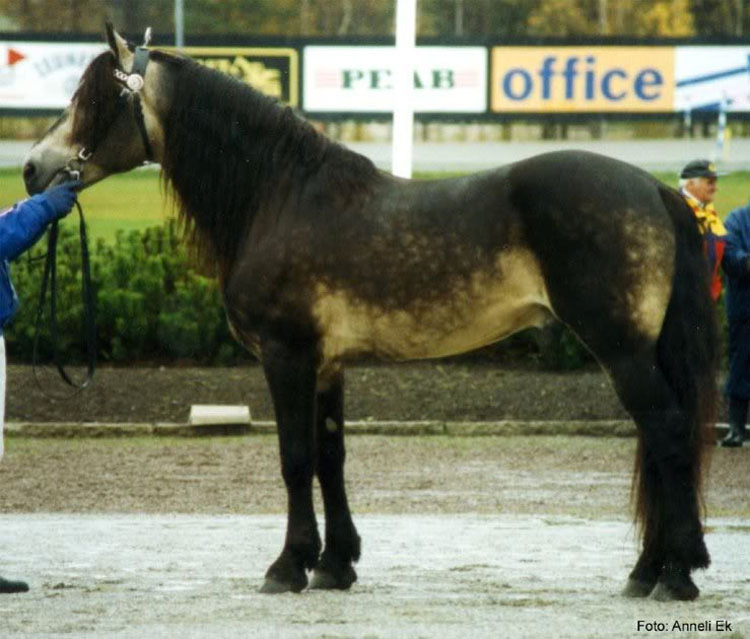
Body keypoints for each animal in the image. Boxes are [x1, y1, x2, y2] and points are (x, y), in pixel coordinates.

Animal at [22, 25, 716, 604]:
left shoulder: (288, 356)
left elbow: (295, 457)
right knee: (656, 442)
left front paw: (288, 566)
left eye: (94, 101)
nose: (32, 169)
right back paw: (646, 573)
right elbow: (331, 456)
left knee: (667, 433)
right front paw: (335, 565)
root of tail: (654, 189)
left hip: (622, 349)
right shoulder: (327, 364)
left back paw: (678, 575)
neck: (282, 198)